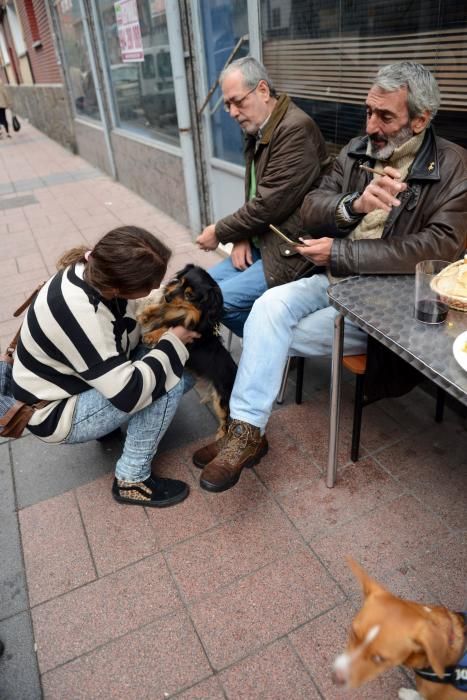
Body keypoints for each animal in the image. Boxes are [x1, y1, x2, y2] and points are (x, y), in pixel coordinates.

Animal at [137, 264, 236, 438]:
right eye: (179, 282)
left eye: (189, 295)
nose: (168, 296)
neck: (184, 312)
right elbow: (161, 310)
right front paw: (147, 313)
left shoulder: (187, 335)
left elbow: (168, 327)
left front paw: (151, 335)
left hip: (220, 400)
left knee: (226, 420)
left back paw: (220, 435)